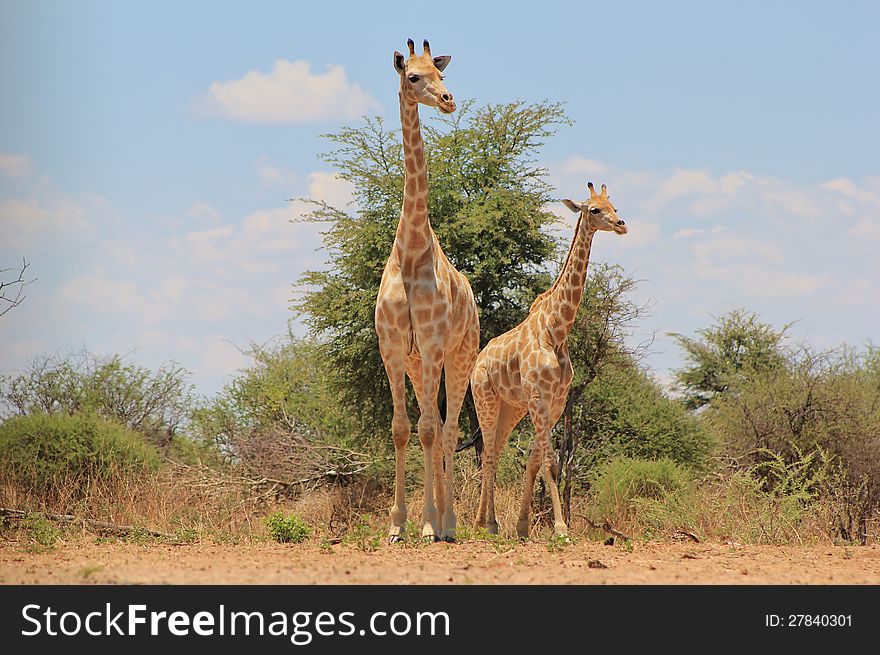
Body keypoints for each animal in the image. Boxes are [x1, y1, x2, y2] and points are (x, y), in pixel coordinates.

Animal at [474, 181, 624, 540]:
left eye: (614, 205)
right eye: (594, 209)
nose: (621, 224)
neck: (557, 329)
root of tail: (477, 361)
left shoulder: (555, 401)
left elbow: (535, 461)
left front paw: (523, 527)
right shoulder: (539, 398)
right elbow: (550, 463)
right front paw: (560, 527)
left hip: (510, 409)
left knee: (495, 451)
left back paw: (488, 522)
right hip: (484, 399)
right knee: (488, 454)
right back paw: (484, 524)